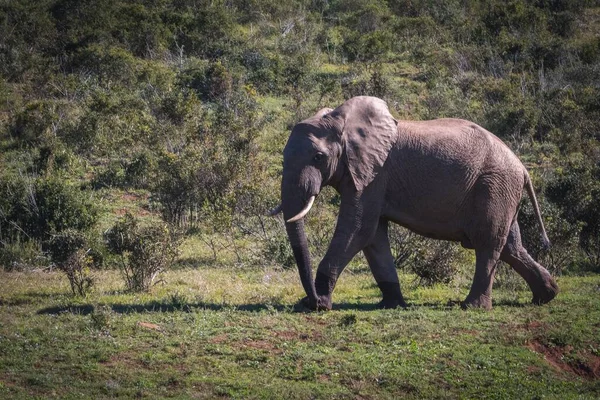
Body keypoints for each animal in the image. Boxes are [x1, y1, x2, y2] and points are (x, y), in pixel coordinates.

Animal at [270, 95, 560, 310]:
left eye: (318, 157)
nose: (311, 300)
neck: (341, 120)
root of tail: (523, 168)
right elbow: (373, 235)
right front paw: (391, 305)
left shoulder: (375, 175)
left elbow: (357, 228)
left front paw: (317, 305)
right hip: (501, 191)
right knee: (511, 245)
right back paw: (547, 295)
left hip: (494, 187)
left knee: (487, 243)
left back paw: (471, 307)